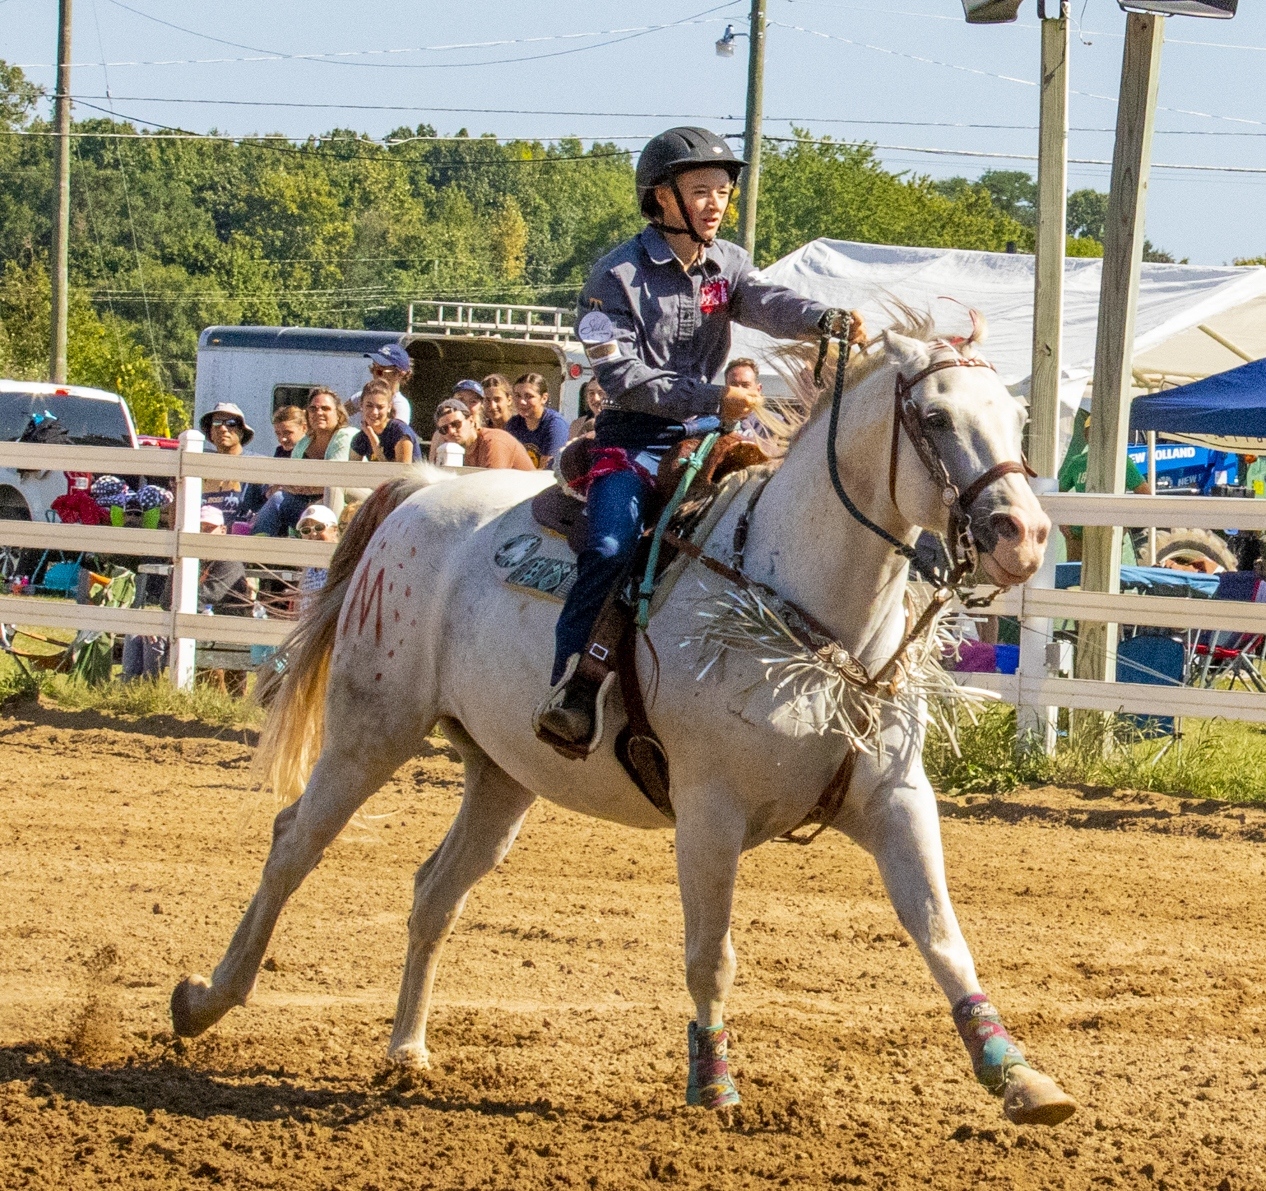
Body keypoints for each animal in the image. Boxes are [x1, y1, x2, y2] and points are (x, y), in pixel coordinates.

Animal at [171, 319, 1076, 1126]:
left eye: (1015, 418)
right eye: (936, 418)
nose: (1024, 535)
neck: (801, 600)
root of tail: (422, 491)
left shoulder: (896, 800)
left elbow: (942, 935)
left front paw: (1019, 1076)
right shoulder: (709, 814)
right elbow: (711, 954)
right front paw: (713, 1083)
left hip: (503, 775)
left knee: (434, 891)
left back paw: (407, 1049)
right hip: (372, 730)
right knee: (294, 844)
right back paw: (205, 998)